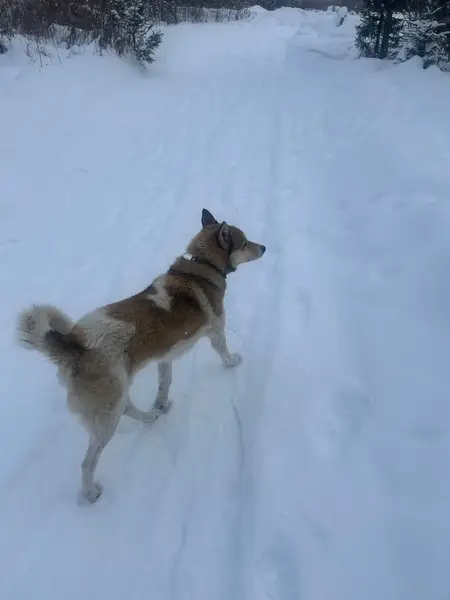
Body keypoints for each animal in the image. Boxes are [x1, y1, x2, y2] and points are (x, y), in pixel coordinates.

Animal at [16, 209, 266, 503]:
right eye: (245, 242)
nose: (264, 247)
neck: (203, 267)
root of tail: (74, 344)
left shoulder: (165, 357)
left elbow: (164, 383)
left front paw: (161, 403)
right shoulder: (216, 331)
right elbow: (223, 351)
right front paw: (232, 362)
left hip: (115, 395)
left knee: (129, 408)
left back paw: (151, 416)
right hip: (108, 412)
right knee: (88, 461)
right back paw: (90, 492)